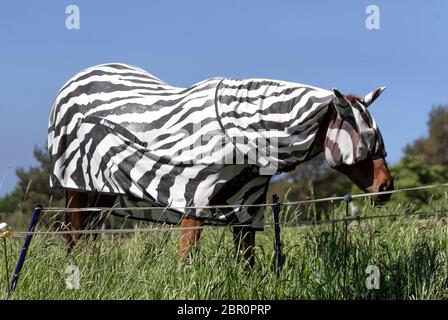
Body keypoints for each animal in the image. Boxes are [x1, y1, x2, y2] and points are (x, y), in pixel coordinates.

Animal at [47, 62, 394, 264]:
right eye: (365, 139)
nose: (387, 189)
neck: (247, 140)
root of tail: (79, 77)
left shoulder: (247, 209)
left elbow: (247, 262)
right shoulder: (192, 202)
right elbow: (187, 261)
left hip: (104, 189)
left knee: (90, 233)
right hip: (74, 185)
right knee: (75, 234)